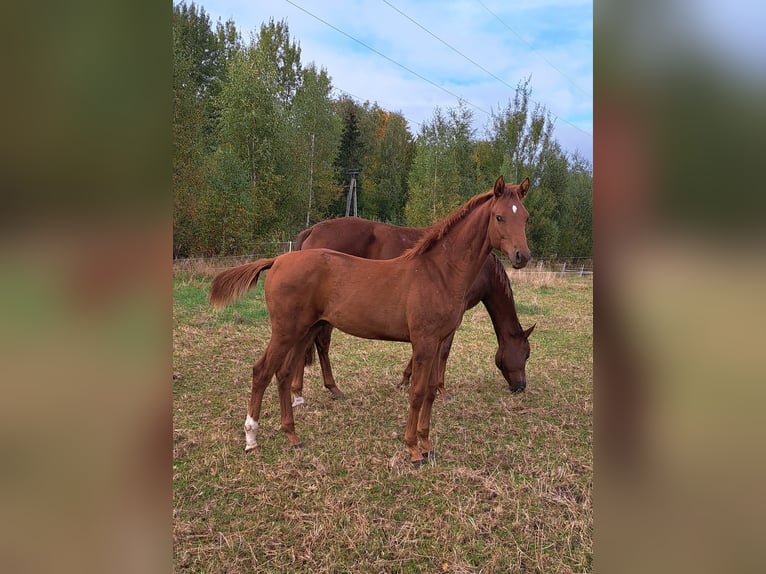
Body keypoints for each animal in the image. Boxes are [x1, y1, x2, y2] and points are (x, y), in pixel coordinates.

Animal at [292, 218, 536, 408]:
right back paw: (318, 390)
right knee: (319, 343)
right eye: (526, 354)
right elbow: (444, 351)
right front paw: (441, 390)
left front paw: (405, 380)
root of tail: (311, 230)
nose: (521, 386)